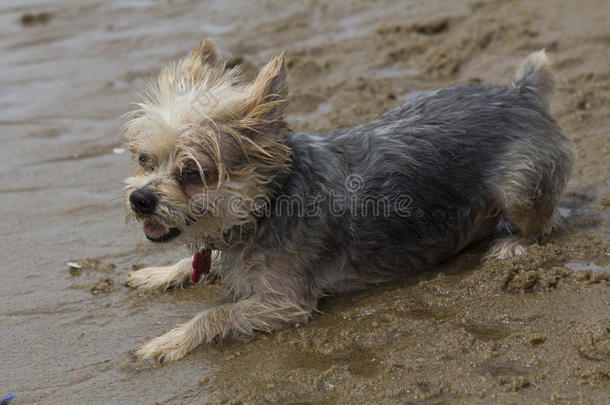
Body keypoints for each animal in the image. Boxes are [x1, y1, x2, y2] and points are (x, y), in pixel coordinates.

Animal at [122, 41, 568, 362]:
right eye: (144, 160)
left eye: (192, 173)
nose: (139, 198)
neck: (267, 204)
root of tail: (522, 95)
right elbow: (197, 262)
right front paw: (159, 273)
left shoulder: (285, 302)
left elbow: (215, 314)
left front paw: (170, 340)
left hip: (519, 189)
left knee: (545, 222)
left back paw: (513, 244)